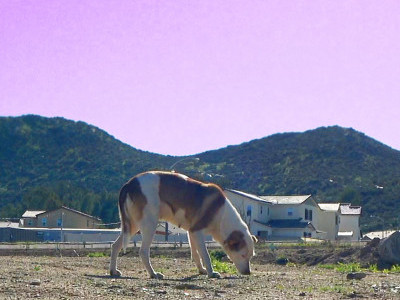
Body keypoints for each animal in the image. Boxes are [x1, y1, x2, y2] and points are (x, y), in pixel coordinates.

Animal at [108, 171, 256, 278]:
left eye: (251, 256)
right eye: (243, 255)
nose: (248, 273)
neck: (221, 214)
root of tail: (129, 183)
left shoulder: (192, 233)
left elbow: (196, 255)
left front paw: (201, 270)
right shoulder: (197, 232)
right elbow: (206, 255)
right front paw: (211, 273)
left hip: (132, 226)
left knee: (115, 246)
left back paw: (113, 271)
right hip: (149, 225)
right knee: (143, 251)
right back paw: (153, 274)